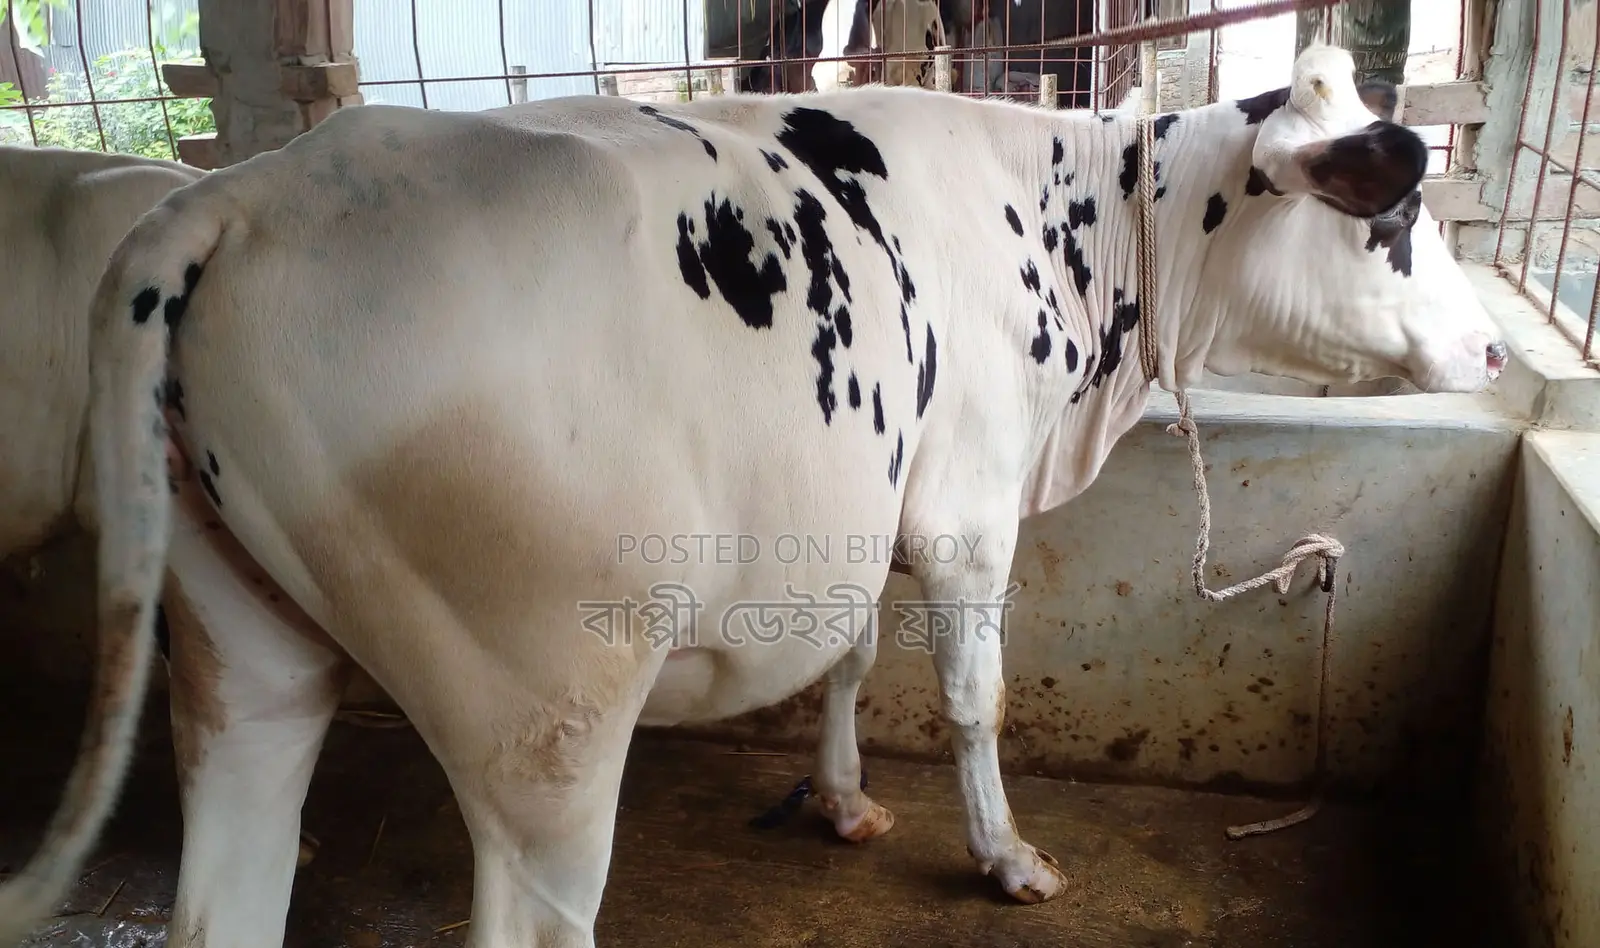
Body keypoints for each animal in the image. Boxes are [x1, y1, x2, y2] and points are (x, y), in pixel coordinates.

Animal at [0, 42, 1508, 947]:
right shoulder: (965, 509)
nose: (1498, 351)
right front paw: (1006, 857)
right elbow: (972, 697)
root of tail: (248, 193)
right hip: (543, 711)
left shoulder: (857, 503)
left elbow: (845, 654)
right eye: (1392, 220)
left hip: (239, 654)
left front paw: (839, 801)